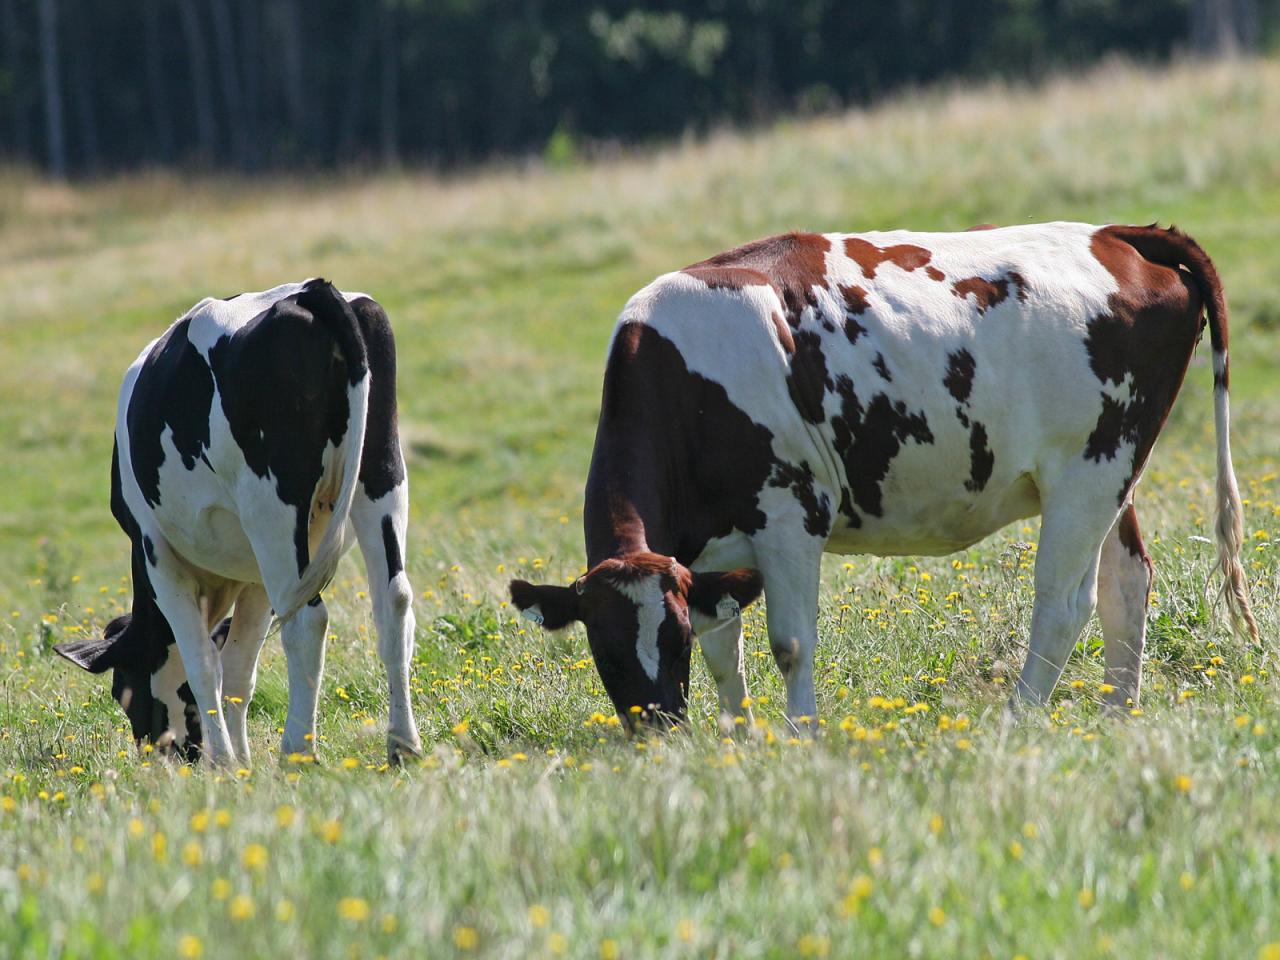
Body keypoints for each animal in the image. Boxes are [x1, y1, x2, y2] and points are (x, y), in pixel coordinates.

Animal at [55, 277, 419, 768]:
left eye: (121, 691)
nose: (164, 755)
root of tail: (310, 291)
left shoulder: (157, 555)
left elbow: (203, 665)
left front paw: (225, 763)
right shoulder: (255, 579)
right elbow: (239, 669)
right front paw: (243, 763)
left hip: (273, 509)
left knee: (307, 622)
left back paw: (297, 752)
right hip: (381, 473)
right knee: (392, 601)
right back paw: (403, 745)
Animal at [506, 225, 1249, 732]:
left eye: (671, 642)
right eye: (604, 650)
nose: (658, 731)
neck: (685, 380)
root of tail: (1117, 233)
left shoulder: (791, 515)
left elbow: (789, 645)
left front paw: (800, 740)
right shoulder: (709, 552)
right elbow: (727, 652)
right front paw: (739, 743)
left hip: (1086, 472)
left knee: (1065, 603)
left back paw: (1018, 720)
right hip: (1113, 472)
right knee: (1128, 582)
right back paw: (1117, 717)